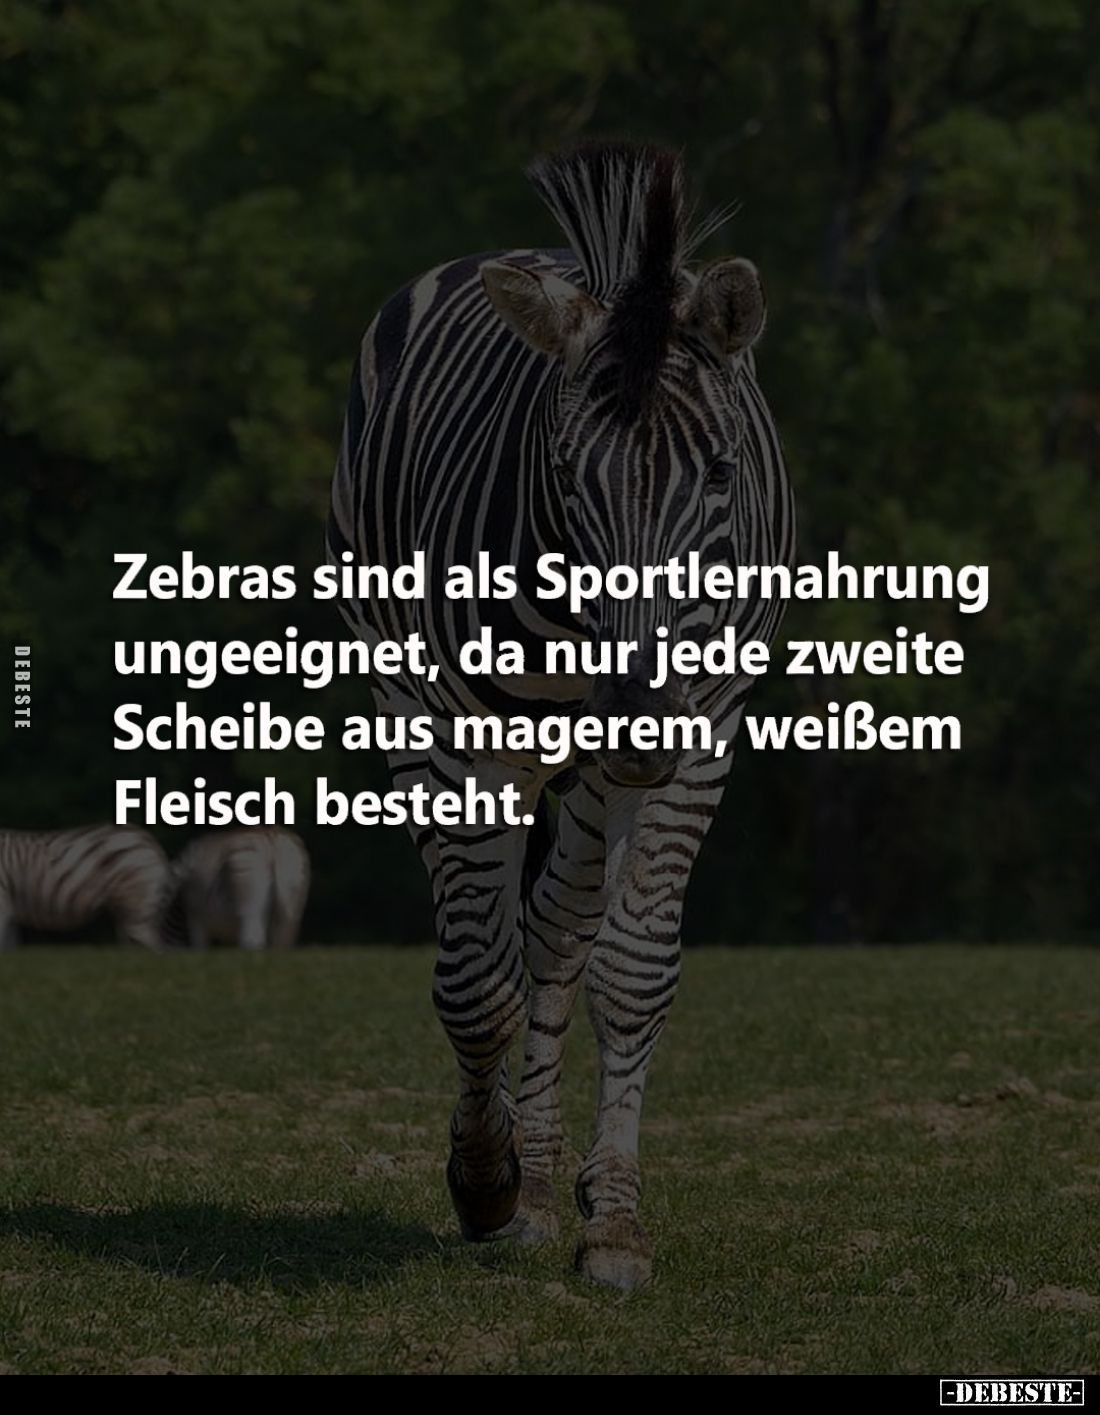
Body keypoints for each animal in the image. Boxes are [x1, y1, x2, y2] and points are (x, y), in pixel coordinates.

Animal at [0, 824, 172, 951]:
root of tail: (149, 840)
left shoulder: (4, 908)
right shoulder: (10, 914)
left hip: (135, 905)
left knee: (153, 947)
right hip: (128, 911)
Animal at [168, 828, 310, 950]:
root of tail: (271, 836)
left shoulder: (197, 921)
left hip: (250, 903)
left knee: (252, 941)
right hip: (291, 904)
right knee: (281, 941)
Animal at [327, 142, 794, 1287]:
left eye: (720, 471)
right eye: (559, 473)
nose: (633, 711)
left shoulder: (701, 734)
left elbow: (627, 968)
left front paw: (611, 1217)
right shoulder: (458, 736)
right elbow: (474, 979)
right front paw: (482, 1180)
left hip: (585, 772)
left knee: (555, 929)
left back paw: (544, 1174)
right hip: (422, 708)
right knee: (490, 937)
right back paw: (512, 1175)